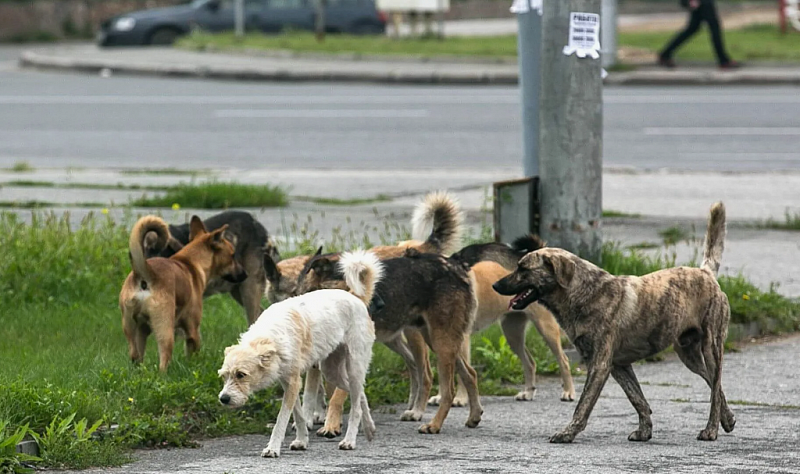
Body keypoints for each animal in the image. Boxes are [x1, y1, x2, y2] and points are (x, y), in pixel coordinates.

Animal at [119, 217, 247, 372]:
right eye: (232, 255)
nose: (245, 274)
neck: (191, 263)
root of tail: (145, 274)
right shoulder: (193, 330)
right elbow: (193, 353)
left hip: (132, 329)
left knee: (135, 355)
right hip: (165, 330)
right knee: (163, 360)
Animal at [217, 250, 382, 458]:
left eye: (241, 375)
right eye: (224, 376)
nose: (223, 399)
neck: (269, 336)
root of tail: (355, 298)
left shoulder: (294, 383)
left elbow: (282, 419)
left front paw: (273, 448)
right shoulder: (289, 383)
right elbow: (299, 415)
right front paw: (302, 441)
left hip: (353, 366)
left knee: (355, 407)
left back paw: (349, 441)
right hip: (332, 371)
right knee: (360, 395)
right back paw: (369, 428)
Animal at [494, 204, 736, 444]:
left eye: (523, 269)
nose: (495, 285)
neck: (584, 293)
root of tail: (705, 273)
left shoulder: (599, 365)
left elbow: (583, 405)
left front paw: (568, 433)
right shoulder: (619, 365)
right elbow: (638, 399)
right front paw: (644, 431)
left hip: (711, 348)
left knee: (715, 388)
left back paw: (711, 430)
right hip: (689, 355)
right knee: (715, 386)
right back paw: (727, 418)